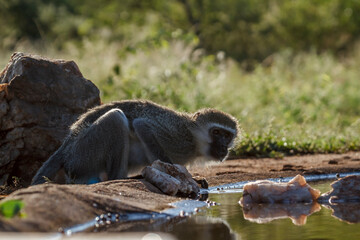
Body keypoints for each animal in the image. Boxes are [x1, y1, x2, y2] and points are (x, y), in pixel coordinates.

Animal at [31, 100, 239, 185]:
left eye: (227, 136)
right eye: (216, 132)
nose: (223, 147)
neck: (195, 140)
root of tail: (67, 147)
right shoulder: (178, 138)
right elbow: (141, 125)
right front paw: (190, 179)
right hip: (83, 153)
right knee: (116, 118)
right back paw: (122, 178)